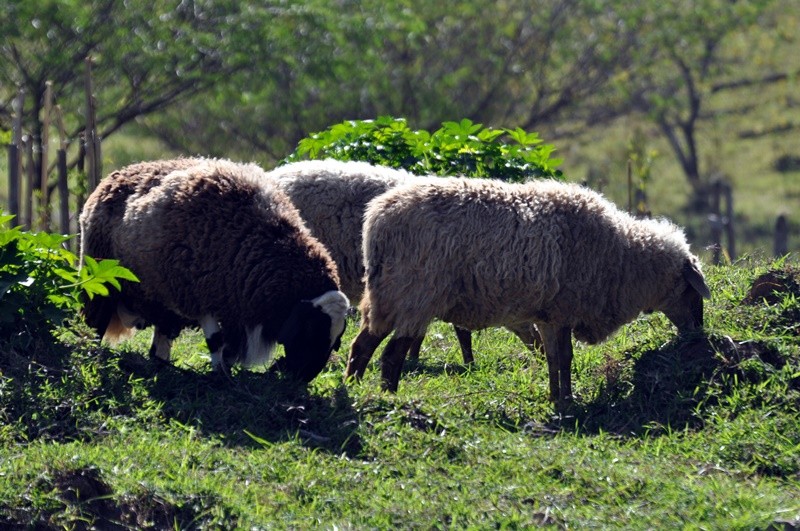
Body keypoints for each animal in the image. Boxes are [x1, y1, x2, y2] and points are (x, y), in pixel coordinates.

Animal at [79, 158, 350, 382]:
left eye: (336, 340)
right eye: (311, 330)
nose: (303, 378)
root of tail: (116, 175)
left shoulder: (232, 306)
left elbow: (228, 346)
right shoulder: (200, 296)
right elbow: (215, 341)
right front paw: (221, 376)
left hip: (159, 299)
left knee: (160, 340)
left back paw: (160, 367)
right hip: (101, 286)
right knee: (94, 326)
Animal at [346, 177, 708, 402]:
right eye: (690, 291)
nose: (697, 335)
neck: (621, 257)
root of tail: (377, 220)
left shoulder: (548, 316)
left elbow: (554, 358)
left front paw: (556, 396)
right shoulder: (562, 311)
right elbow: (564, 357)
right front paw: (567, 400)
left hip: (386, 296)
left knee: (362, 345)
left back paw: (354, 386)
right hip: (414, 295)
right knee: (391, 354)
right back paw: (388, 396)